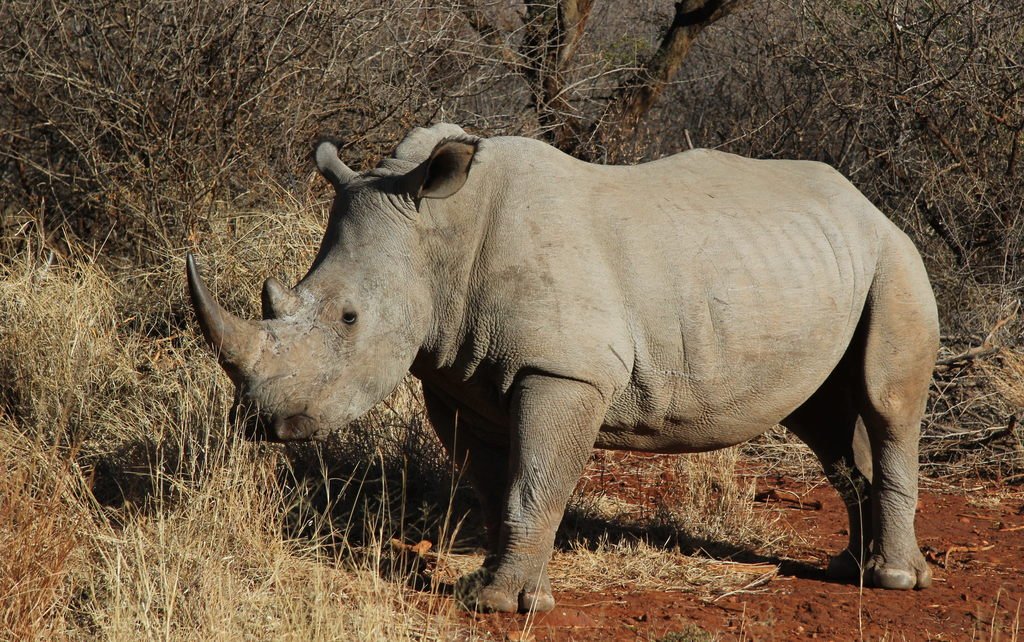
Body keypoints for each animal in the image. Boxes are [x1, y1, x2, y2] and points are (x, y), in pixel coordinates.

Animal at [188, 121, 937, 614]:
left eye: (348, 319)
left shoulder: (564, 370)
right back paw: (854, 568)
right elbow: (493, 483)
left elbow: (536, 480)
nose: (263, 421)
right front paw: (484, 588)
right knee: (825, 420)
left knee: (887, 403)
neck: (438, 233)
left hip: (894, 258)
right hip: (812, 265)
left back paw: (895, 582)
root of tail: (869, 204)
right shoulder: (455, 379)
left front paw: (506, 605)